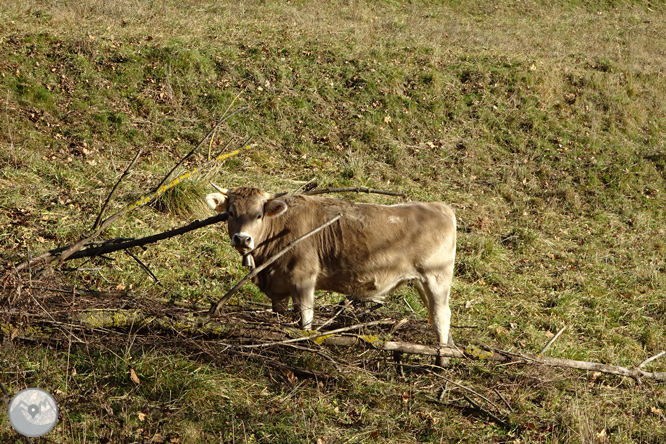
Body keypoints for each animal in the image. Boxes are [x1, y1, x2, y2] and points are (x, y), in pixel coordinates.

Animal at [206, 187, 456, 354]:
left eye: (259, 215)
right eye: (230, 213)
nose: (242, 238)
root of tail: (439, 207)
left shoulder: (303, 279)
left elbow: (306, 319)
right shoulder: (278, 288)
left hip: (437, 277)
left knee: (442, 315)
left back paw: (442, 357)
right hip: (422, 281)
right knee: (434, 314)